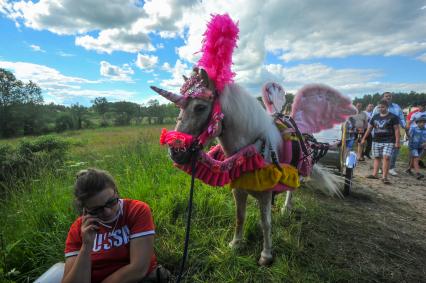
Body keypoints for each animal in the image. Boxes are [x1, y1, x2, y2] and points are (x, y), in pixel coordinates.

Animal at [151, 13, 356, 266]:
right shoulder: (238, 190)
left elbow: (265, 223)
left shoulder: (265, 194)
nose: (175, 151)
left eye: (200, 107)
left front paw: (266, 255)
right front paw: (236, 245)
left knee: (293, 189)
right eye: (179, 107)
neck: (250, 147)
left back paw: (286, 209)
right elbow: (239, 217)